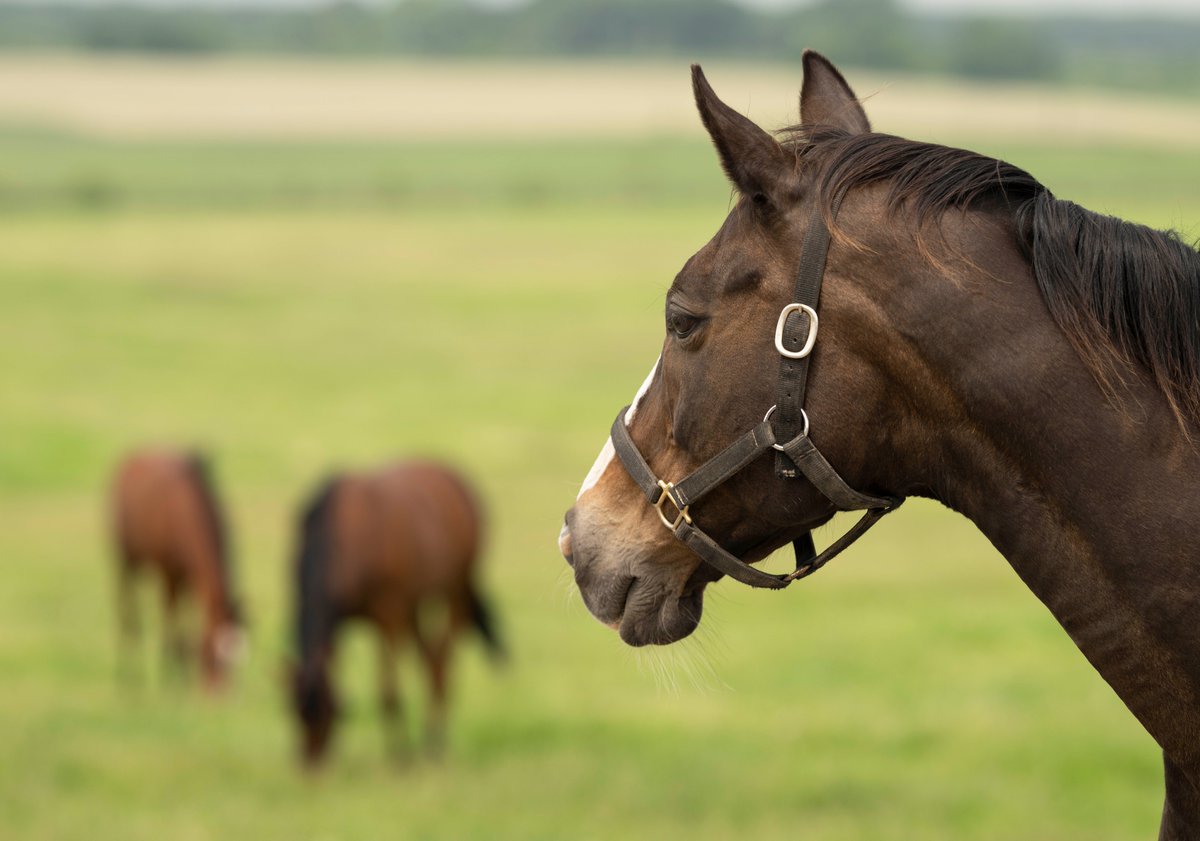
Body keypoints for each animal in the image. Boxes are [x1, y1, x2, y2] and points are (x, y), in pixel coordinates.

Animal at [111, 448, 244, 691]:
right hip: (125, 561)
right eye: (211, 656)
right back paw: (127, 666)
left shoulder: (190, 579)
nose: (221, 693)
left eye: (234, 663)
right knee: (127, 607)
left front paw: (184, 670)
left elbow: (190, 620)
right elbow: (170, 618)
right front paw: (171, 676)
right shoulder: (169, 574)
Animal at [287, 460, 503, 767]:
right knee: (430, 660)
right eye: (295, 713)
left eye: (324, 715)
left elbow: (388, 693)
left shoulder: (388, 617)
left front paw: (400, 758)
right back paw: (429, 742)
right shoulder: (340, 622)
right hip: (414, 606)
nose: (311, 764)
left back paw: (436, 745)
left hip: (455, 590)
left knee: (443, 660)